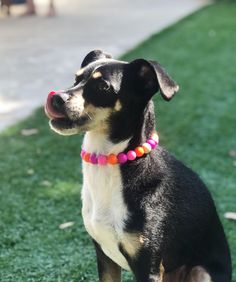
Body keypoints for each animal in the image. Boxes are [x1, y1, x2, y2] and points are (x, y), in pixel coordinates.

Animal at [45, 49, 231, 280]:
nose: (56, 97)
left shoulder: (148, 266)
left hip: (201, 271)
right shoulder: (104, 258)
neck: (111, 163)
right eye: (76, 79)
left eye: (103, 87)